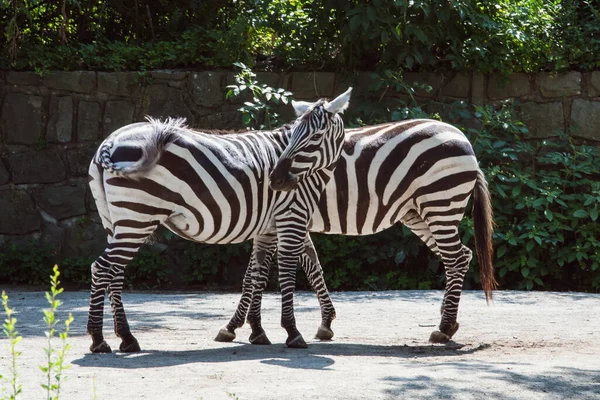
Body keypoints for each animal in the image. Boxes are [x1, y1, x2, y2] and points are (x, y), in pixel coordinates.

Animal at [86, 88, 354, 354]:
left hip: (115, 221)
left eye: (316, 136)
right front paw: (293, 331)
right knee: (102, 268)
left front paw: (255, 331)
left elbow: (258, 273)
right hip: (138, 216)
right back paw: (98, 339)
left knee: (114, 272)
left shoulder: (268, 226)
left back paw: (126, 337)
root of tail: (110, 141)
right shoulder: (292, 216)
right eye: (295, 135)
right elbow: (291, 269)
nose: (275, 180)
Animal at [216, 116, 496, 346]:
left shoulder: (285, 218)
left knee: (455, 258)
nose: (276, 180)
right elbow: (310, 266)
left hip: (441, 203)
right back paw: (449, 321)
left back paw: (444, 327)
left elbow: (253, 276)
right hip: (418, 212)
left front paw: (235, 326)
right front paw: (325, 321)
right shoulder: (291, 221)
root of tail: (463, 139)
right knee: (460, 256)